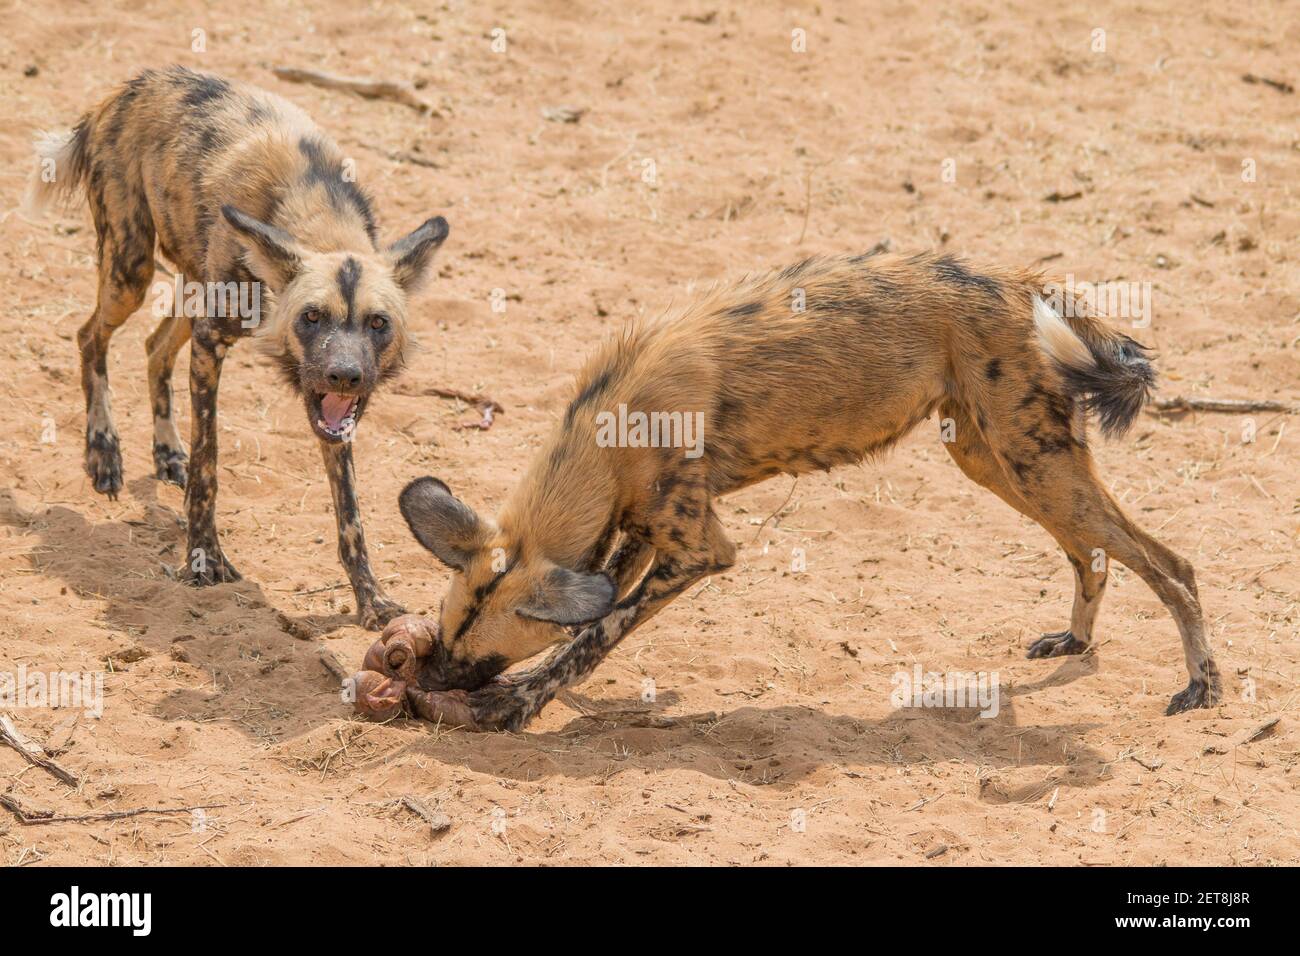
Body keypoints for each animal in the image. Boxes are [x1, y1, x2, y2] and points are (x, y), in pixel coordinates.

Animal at [26, 69, 452, 634]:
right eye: (311, 316)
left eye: (378, 324)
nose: (344, 375)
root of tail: (125, 89)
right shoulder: (212, 343)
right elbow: (209, 465)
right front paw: (204, 559)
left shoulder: (330, 414)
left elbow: (351, 517)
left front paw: (371, 599)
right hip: (130, 272)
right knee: (90, 337)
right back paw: (104, 453)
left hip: (188, 287)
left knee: (153, 347)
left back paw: (167, 454)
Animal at [379, 251, 1222, 728]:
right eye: (443, 632)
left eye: (476, 656)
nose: (422, 680)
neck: (606, 427)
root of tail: (1019, 282)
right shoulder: (636, 536)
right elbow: (592, 621)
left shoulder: (696, 551)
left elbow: (594, 634)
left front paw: (515, 705)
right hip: (1000, 462)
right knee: (1094, 554)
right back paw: (1077, 641)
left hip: (1030, 461)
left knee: (1172, 564)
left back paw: (1201, 686)